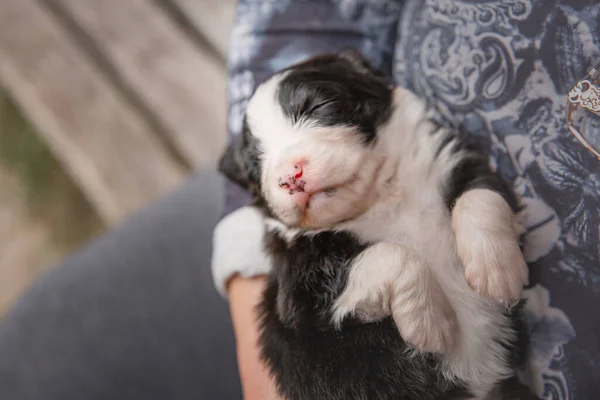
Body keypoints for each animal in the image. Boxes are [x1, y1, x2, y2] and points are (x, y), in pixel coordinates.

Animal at [219, 50, 528, 400]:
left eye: (319, 106)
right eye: (256, 164)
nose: (289, 177)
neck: (382, 197)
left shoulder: (455, 162)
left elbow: (479, 197)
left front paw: (497, 271)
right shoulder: (300, 295)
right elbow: (393, 254)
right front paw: (431, 322)